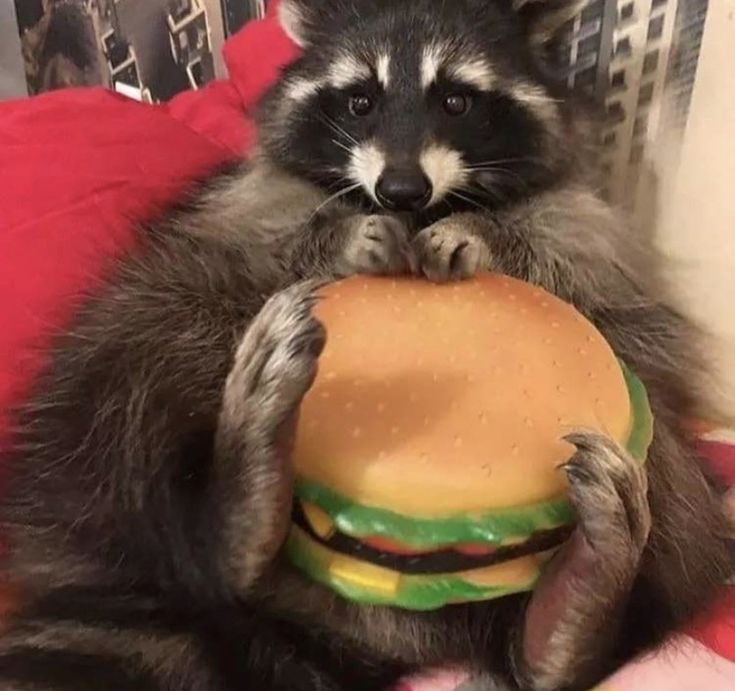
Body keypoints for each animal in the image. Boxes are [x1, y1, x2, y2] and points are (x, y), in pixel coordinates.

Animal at [0, 1, 731, 690]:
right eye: (360, 101)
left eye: (456, 101)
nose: (399, 189)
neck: (424, 209)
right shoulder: (243, 201)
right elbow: (274, 228)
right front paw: (345, 234)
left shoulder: (582, 219)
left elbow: (574, 247)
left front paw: (482, 234)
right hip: (134, 342)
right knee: (138, 363)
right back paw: (227, 520)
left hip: (645, 425)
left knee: (670, 478)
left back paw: (569, 617)